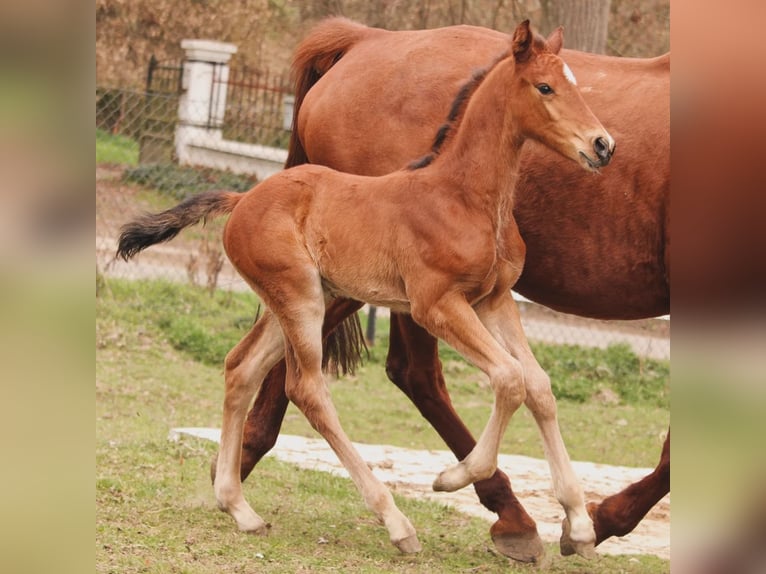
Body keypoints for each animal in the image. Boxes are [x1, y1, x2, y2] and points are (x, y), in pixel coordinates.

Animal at [118, 21, 614, 558]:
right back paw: (396, 522)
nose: (603, 145)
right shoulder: (435, 305)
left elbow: (538, 385)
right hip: (301, 299)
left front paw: (580, 526)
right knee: (307, 388)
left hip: (301, 301)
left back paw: (240, 509)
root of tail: (243, 197)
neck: (465, 196)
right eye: (545, 87)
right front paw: (452, 477)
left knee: (241, 368)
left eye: (575, 84)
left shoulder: (495, 300)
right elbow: (509, 378)